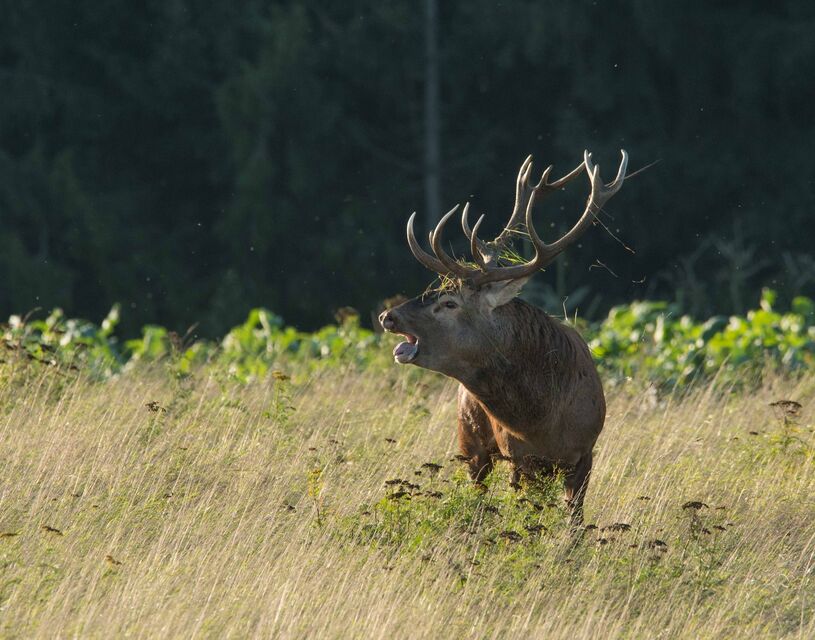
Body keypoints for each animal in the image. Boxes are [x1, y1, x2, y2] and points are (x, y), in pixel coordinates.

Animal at [378, 150, 628, 525]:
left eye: (449, 303)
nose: (388, 316)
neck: (543, 419)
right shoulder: (517, 454)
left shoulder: (585, 452)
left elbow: (575, 521)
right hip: (469, 437)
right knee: (478, 488)